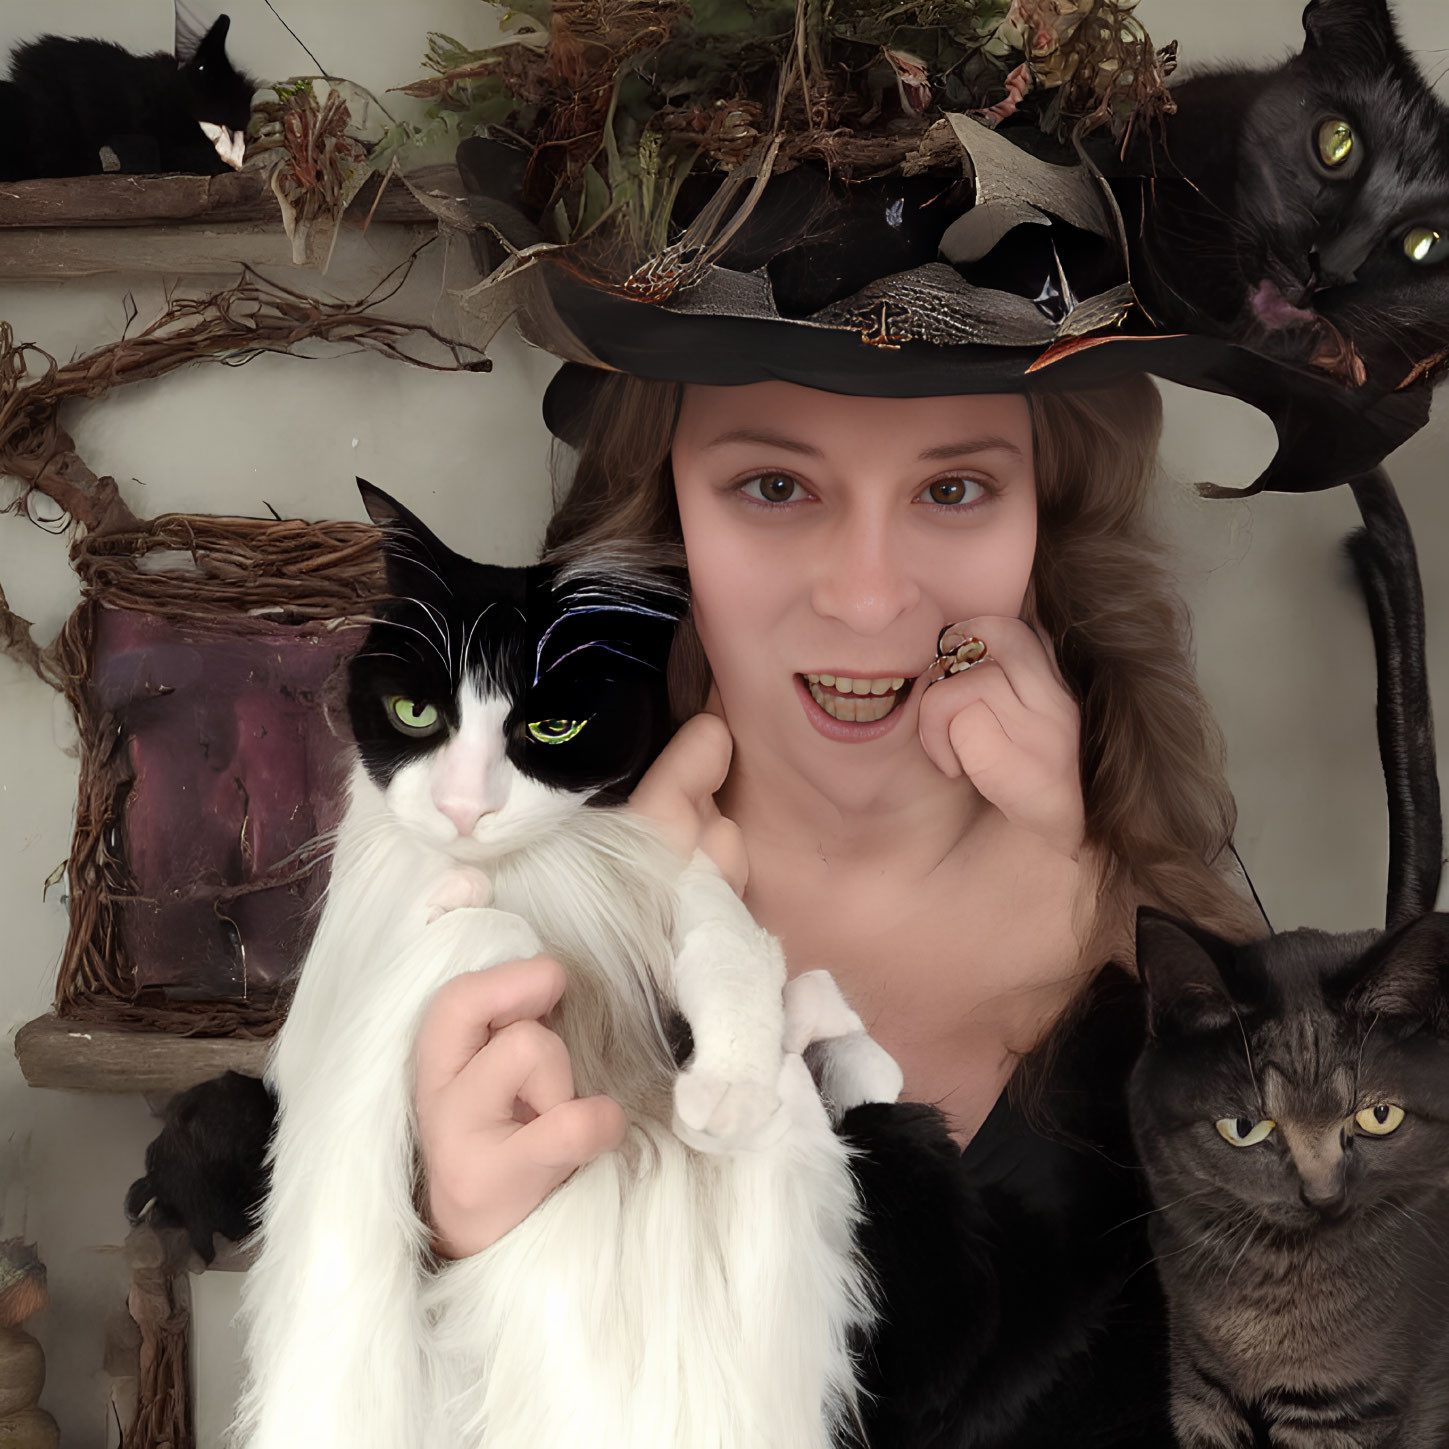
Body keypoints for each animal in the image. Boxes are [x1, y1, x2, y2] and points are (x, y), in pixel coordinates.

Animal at [231, 483, 898, 1449]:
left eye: (552, 726)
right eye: (416, 715)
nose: (462, 809)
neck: (543, 874)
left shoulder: (677, 869)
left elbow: (731, 941)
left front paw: (732, 1082)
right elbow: (470, 930)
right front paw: (462, 906)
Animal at [1130, 469, 1449, 1443]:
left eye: (1374, 1117)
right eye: (1245, 1126)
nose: (1320, 1192)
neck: (1262, 1315)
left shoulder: (1346, 1410)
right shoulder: (1195, 1386)